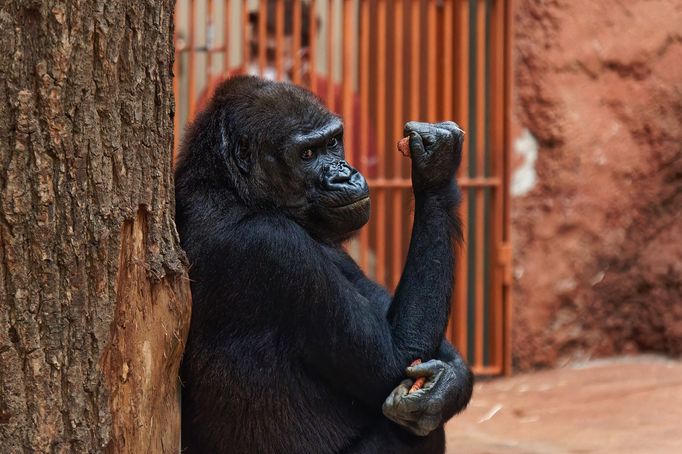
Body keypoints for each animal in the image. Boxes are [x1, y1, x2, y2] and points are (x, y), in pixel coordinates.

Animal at [175, 76, 472, 452]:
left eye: (332, 143)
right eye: (307, 154)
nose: (344, 175)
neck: (232, 187)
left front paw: (443, 388)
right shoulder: (273, 246)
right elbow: (399, 355)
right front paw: (435, 167)